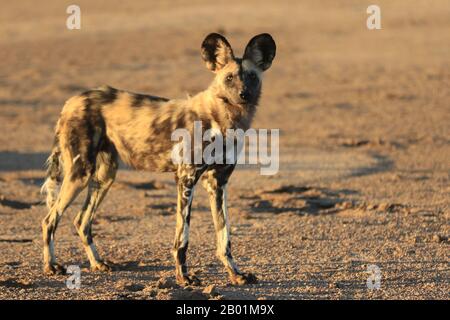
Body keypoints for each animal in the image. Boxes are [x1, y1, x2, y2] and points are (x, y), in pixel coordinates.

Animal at [41, 33, 274, 284]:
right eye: (229, 78)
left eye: (252, 77)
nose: (244, 95)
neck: (222, 119)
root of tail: (72, 100)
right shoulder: (186, 179)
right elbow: (182, 238)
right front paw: (184, 277)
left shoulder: (218, 184)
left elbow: (225, 237)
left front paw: (235, 274)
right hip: (80, 173)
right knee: (49, 219)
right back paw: (51, 266)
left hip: (105, 176)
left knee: (82, 220)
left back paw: (97, 263)